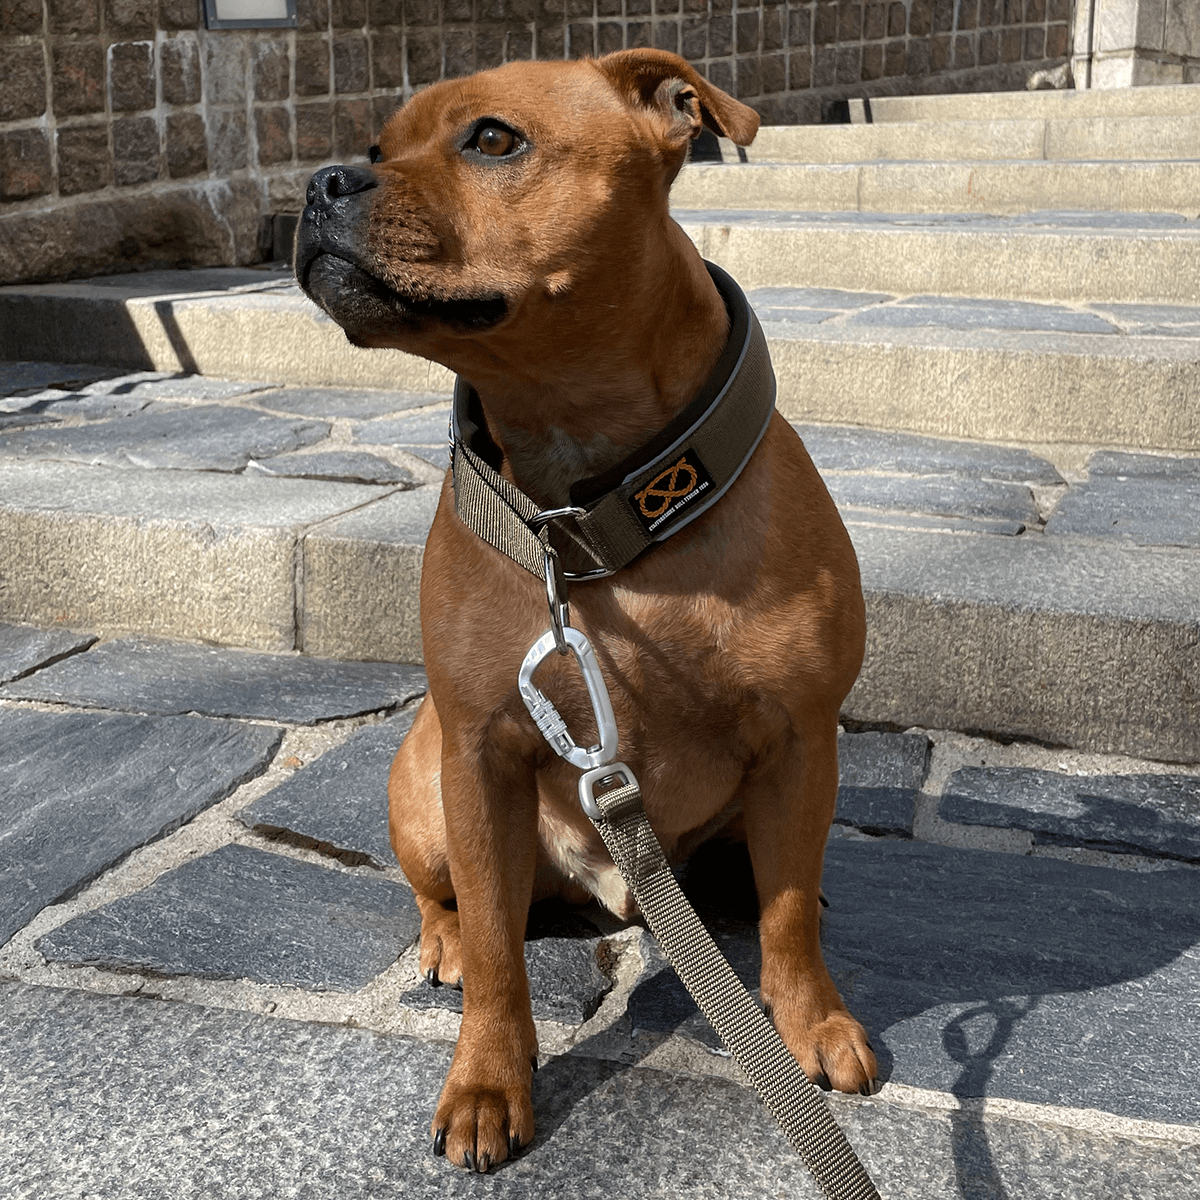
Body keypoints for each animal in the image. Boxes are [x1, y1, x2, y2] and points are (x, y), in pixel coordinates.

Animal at [295, 46, 878, 1171]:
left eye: (492, 139)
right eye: (379, 144)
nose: (320, 181)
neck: (593, 509)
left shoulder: (801, 740)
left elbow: (787, 917)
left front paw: (813, 1022)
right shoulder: (479, 752)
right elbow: (496, 951)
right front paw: (488, 1079)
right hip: (424, 786)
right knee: (445, 899)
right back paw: (438, 940)